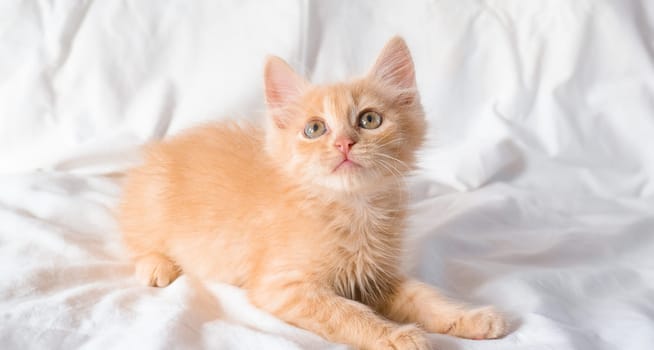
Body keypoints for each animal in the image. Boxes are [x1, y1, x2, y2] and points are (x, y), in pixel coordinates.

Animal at [118, 37, 508, 348]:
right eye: (315, 129)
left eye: (370, 120)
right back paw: (156, 265)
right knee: (136, 240)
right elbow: (347, 313)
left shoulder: (376, 275)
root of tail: (161, 149)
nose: (344, 143)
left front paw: (470, 317)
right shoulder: (285, 288)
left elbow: (424, 296)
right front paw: (396, 336)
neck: (352, 208)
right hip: (150, 203)